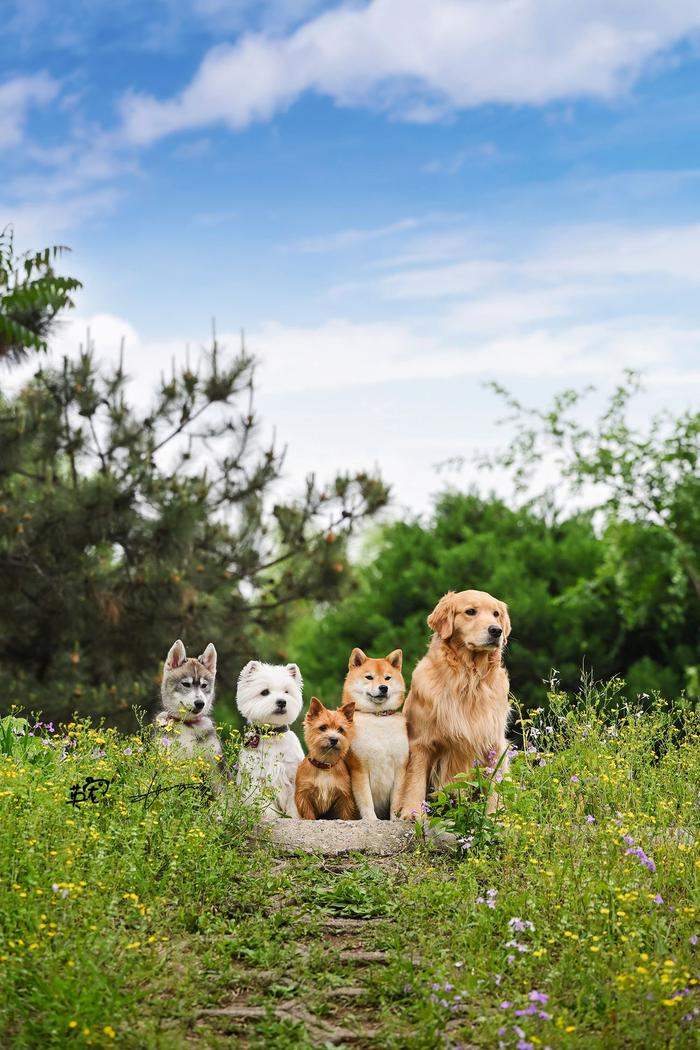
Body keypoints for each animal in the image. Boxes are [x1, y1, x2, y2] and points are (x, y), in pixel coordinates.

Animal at [235, 655, 304, 818]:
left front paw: (294, 817)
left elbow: (293, 802)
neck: (273, 735)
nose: (282, 702)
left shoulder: (292, 775)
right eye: (265, 692)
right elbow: (264, 803)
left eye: (286, 692)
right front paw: (270, 817)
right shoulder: (257, 778)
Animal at [344, 646, 411, 818]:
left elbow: (396, 802)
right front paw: (371, 819)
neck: (378, 718)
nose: (383, 687)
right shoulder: (360, 768)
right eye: (369, 677)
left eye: (387, 678)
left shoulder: (400, 768)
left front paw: (394, 819)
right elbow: (366, 801)